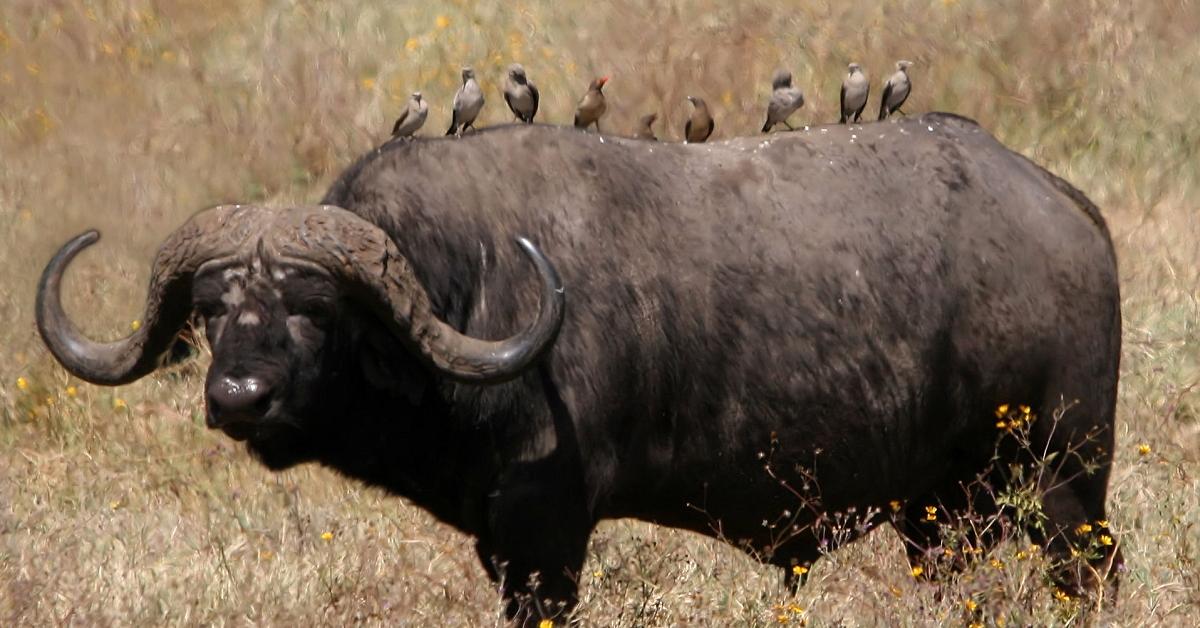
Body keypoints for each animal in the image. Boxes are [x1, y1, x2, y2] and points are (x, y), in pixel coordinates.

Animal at [37, 114, 1123, 624]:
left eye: (313, 310)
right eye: (215, 309)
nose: (238, 397)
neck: (469, 286)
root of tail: (1064, 205)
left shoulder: (544, 533)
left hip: (1065, 482)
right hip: (944, 515)